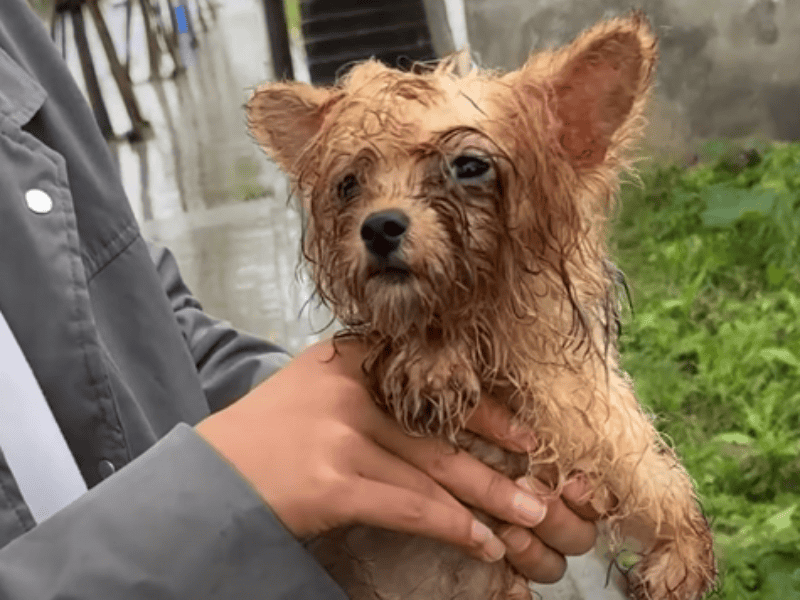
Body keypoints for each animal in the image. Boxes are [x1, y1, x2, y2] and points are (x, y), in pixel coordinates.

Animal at [247, 10, 716, 600]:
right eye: (349, 184)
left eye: (469, 166)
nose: (378, 226)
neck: (491, 356)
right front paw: (431, 361)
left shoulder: (589, 426)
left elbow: (656, 484)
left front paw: (678, 561)